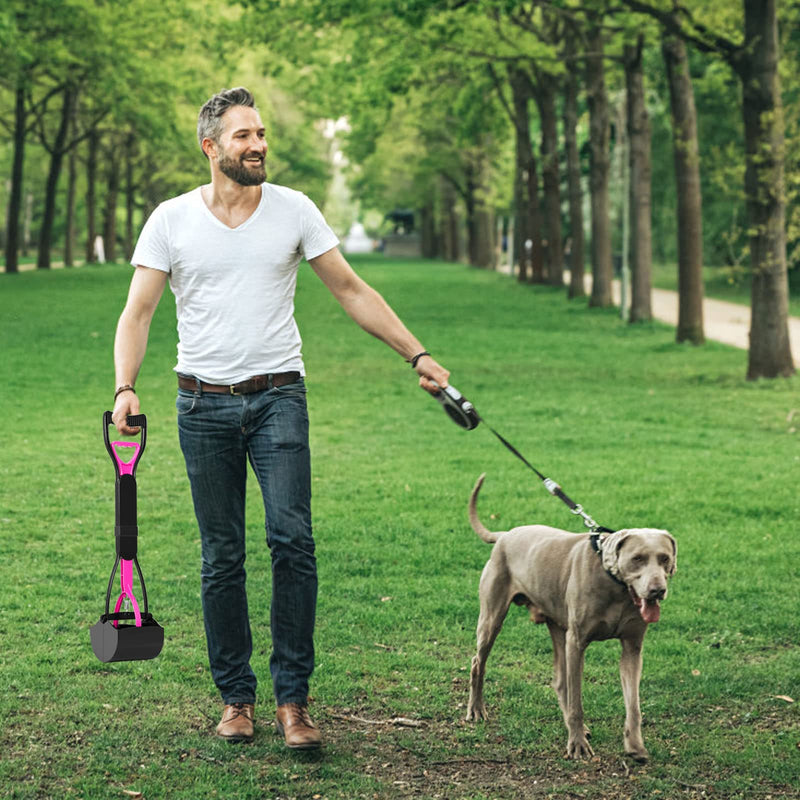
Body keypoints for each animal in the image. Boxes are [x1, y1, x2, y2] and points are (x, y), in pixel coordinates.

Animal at [462, 476, 676, 764]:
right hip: (493, 616)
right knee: (478, 661)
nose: (657, 590)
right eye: (637, 559)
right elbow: (577, 702)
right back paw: (476, 710)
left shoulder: (632, 648)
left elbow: (633, 704)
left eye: (665, 559)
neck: (615, 586)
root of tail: (505, 535)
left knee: (560, 680)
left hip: (557, 622)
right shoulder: (577, 642)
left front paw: (635, 746)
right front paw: (577, 746)